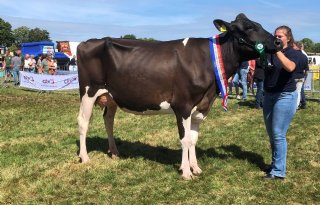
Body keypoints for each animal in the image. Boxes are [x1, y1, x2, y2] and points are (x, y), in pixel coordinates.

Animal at [77, 13, 282, 179]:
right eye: (248, 27)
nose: (278, 42)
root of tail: (87, 42)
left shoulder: (201, 106)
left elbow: (194, 139)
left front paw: (195, 168)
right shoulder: (182, 105)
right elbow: (185, 139)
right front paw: (185, 172)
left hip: (111, 96)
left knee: (108, 120)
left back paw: (114, 152)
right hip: (88, 92)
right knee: (83, 122)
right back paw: (85, 157)